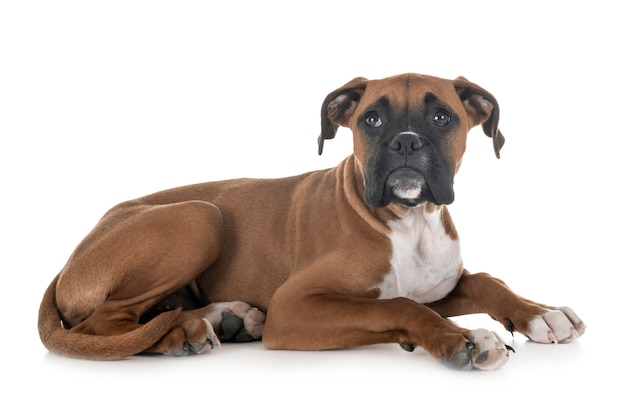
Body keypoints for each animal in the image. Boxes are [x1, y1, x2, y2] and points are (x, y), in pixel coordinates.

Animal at [39, 73, 584, 368]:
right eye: (371, 120)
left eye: (442, 118)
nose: (406, 142)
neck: (410, 223)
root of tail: (70, 259)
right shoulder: (294, 308)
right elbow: (399, 306)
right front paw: (460, 338)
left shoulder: (442, 286)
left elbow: (486, 281)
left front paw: (540, 312)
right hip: (201, 215)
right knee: (108, 325)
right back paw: (181, 335)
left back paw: (224, 318)